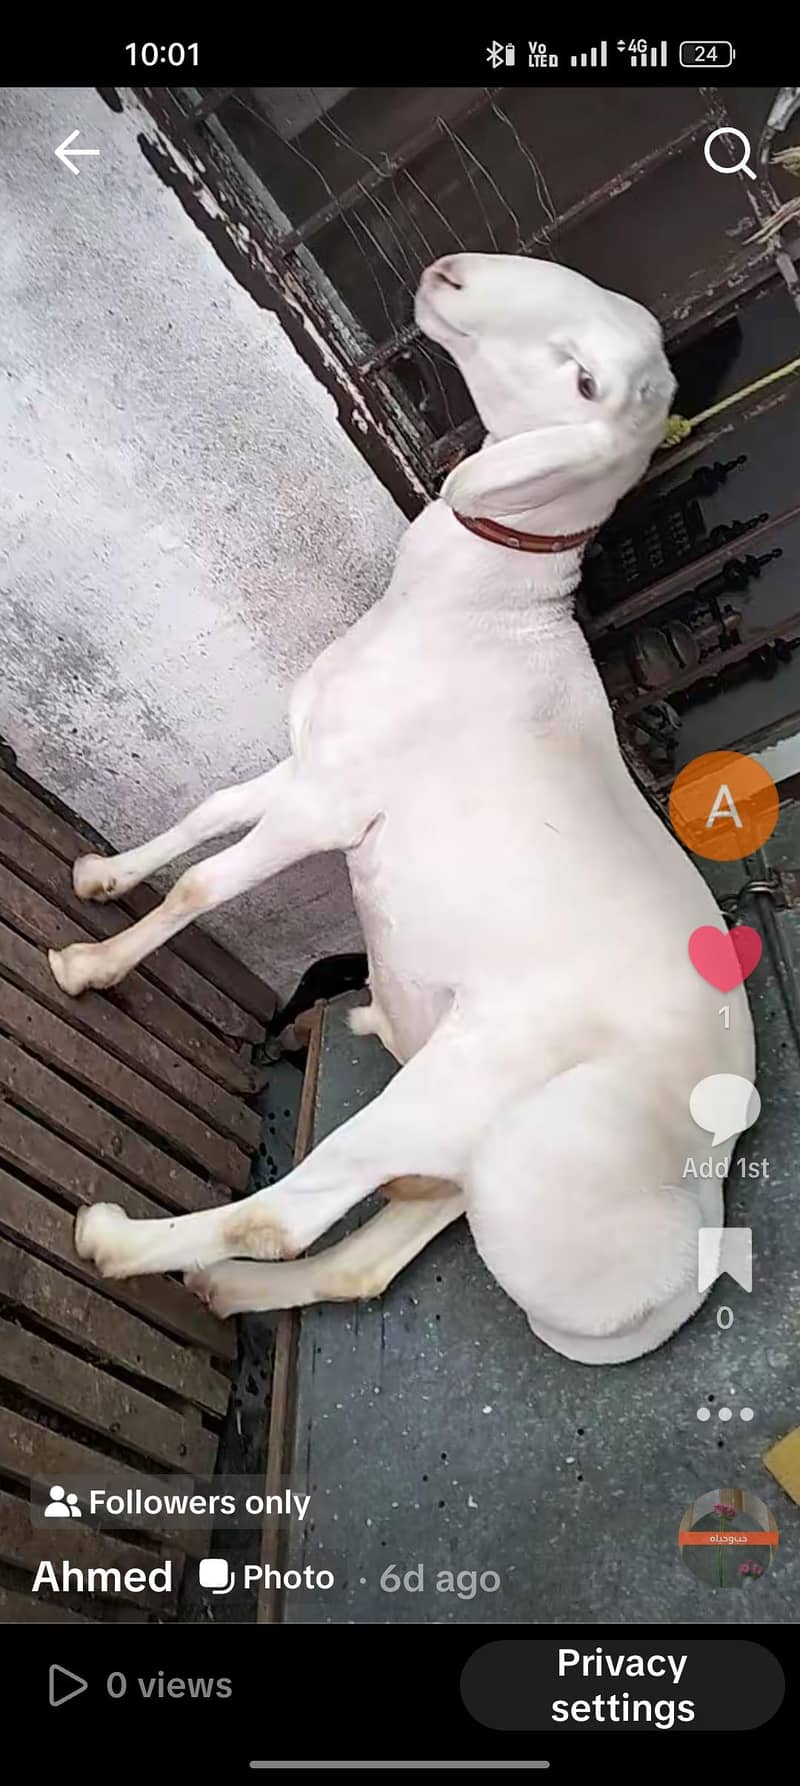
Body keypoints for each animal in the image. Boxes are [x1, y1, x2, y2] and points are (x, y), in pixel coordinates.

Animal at [54, 253, 754, 1362]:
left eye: (585, 382)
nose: (448, 274)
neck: (489, 613)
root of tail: (702, 1200)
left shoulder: (327, 806)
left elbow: (206, 882)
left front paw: (91, 965)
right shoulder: (311, 760)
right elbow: (209, 811)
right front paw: (101, 875)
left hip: (478, 1093)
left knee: (288, 1212)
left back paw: (118, 1239)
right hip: (458, 1155)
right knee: (362, 1259)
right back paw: (221, 1282)